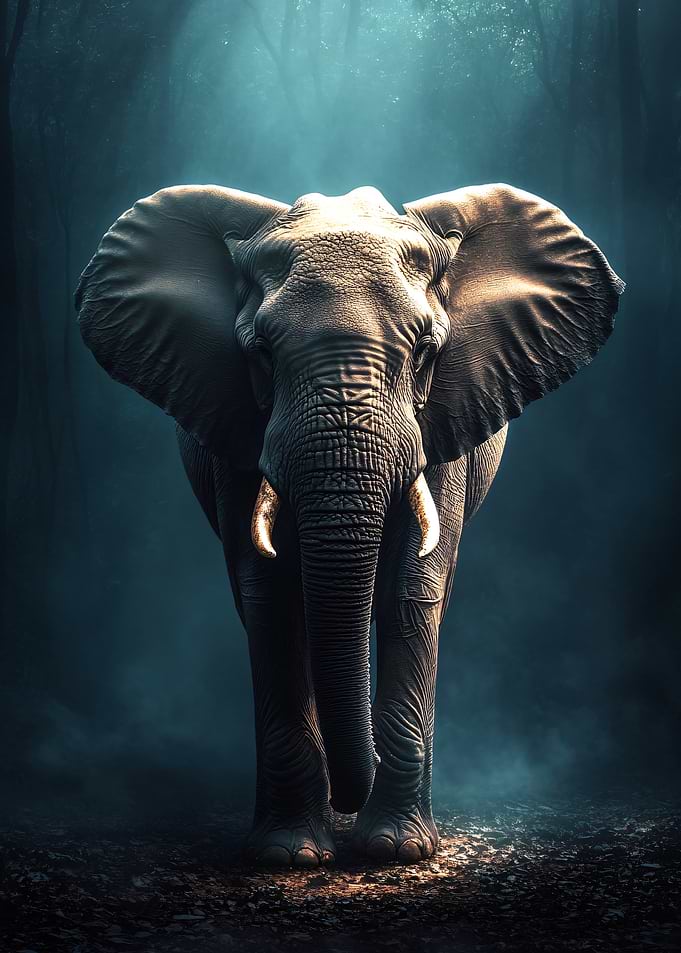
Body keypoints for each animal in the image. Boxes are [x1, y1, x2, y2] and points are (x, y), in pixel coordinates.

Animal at [75, 183, 623, 868]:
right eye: (261, 353)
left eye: (427, 350)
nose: (349, 795)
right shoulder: (236, 422)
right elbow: (271, 596)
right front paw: (288, 855)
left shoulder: (447, 417)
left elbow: (411, 592)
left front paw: (394, 849)